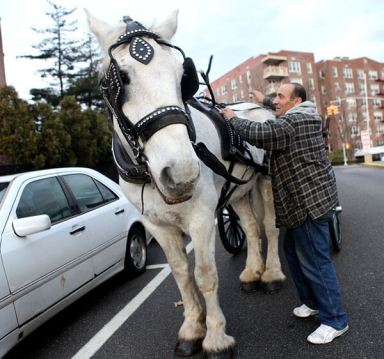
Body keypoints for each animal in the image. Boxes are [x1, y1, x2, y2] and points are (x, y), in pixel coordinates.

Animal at [88, 9, 284, 359]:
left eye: (182, 76)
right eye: (120, 79)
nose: (180, 172)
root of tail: (261, 108)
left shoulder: (202, 218)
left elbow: (205, 274)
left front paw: (216, 337)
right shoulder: (158, 227)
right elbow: (181, 274)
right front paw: (193, 328)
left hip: (265, 179)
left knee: (270, 227)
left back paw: (272, 274)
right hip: (238, 191)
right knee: (250, 227)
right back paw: (252, 272)